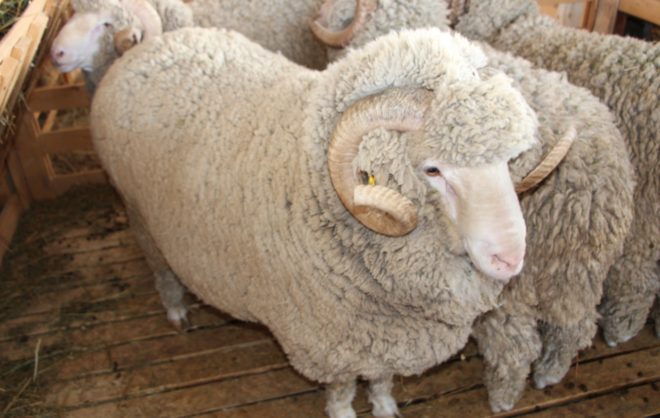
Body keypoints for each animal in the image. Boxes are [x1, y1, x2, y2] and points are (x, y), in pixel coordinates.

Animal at [90, 27, 540, 418]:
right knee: (160, 269)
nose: (510, 259)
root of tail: (150, 46)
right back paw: (176, 310)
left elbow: (380, 378)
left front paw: (384, 406)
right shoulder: (327, 342)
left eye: (508, 160)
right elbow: (341, 390)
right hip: (139, 214)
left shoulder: (382, 337)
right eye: (433, 170)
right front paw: (344, 412)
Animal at [310, 0, 635, 411]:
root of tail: (599, 176)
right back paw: (551, 372)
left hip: (523, 285)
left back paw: (504, 395)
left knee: (519, 344)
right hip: (579, 270)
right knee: (574, 324)